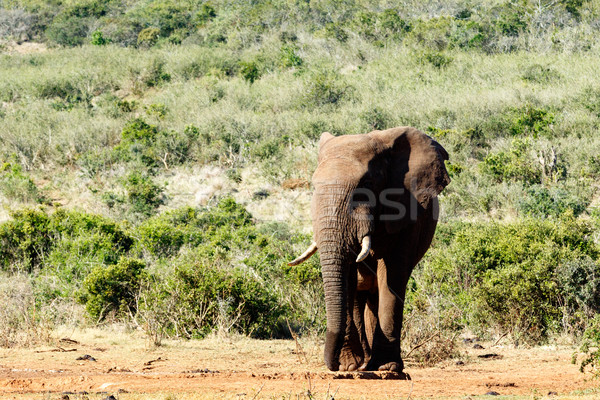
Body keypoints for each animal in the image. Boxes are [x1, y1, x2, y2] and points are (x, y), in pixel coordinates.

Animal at [288, 127, 448, 372]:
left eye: (367, 183)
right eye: (314, 186)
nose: (332, 365)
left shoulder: (409, 213)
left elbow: (393, 274)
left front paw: (387, 367)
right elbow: (349, 276)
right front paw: (349, 366)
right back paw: (362, 363)